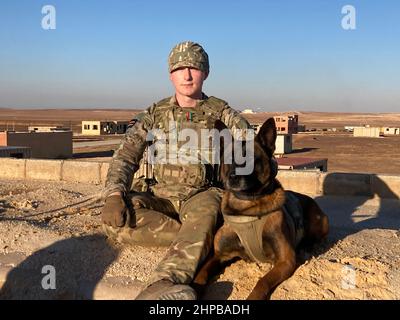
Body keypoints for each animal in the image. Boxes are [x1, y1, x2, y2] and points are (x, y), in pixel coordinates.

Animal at [193, 117, 328, 300]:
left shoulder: (286, 260)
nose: (233, 177)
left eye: (251, 159)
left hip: (319, 223)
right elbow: (201, 274)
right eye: (229, 158)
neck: (246, 207)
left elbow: (262, 281)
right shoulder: (218, 256)